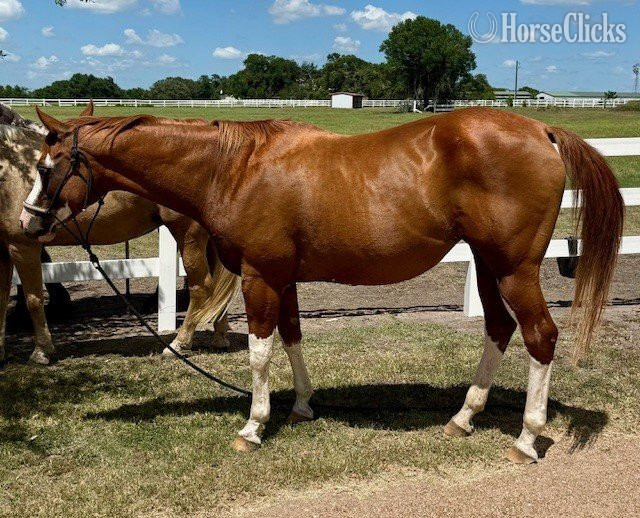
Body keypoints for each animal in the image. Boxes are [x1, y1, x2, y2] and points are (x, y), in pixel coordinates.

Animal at [0, 104, 240, 365]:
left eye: (43, 171)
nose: (26, 220)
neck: (12, 169)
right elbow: (1, 298)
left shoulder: (22, 246)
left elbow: (34, 299)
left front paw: (42, 350)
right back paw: (219, 336)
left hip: (188, 236)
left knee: (201, 286)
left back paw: (180, 342)